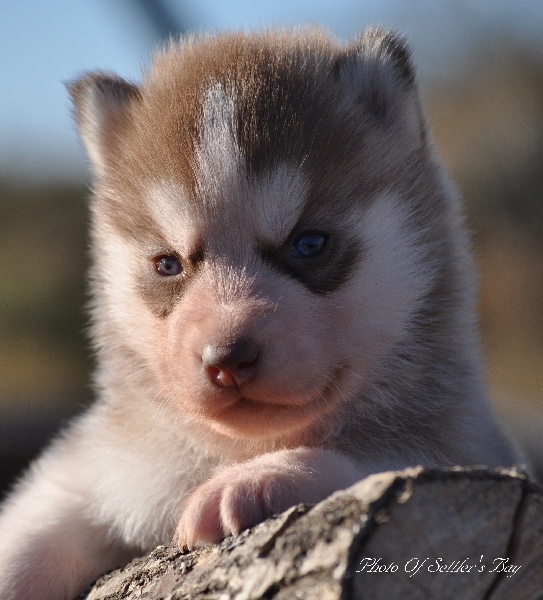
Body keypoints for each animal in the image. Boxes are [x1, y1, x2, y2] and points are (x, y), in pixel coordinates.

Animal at [0, 29, 520, 600]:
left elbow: (365, 457)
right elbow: (31, 532)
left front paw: (254, 480)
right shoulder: (99, 473)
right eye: (167, 264)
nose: (227, 358)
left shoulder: (466, 450)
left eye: (309, 243)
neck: (233, 448)